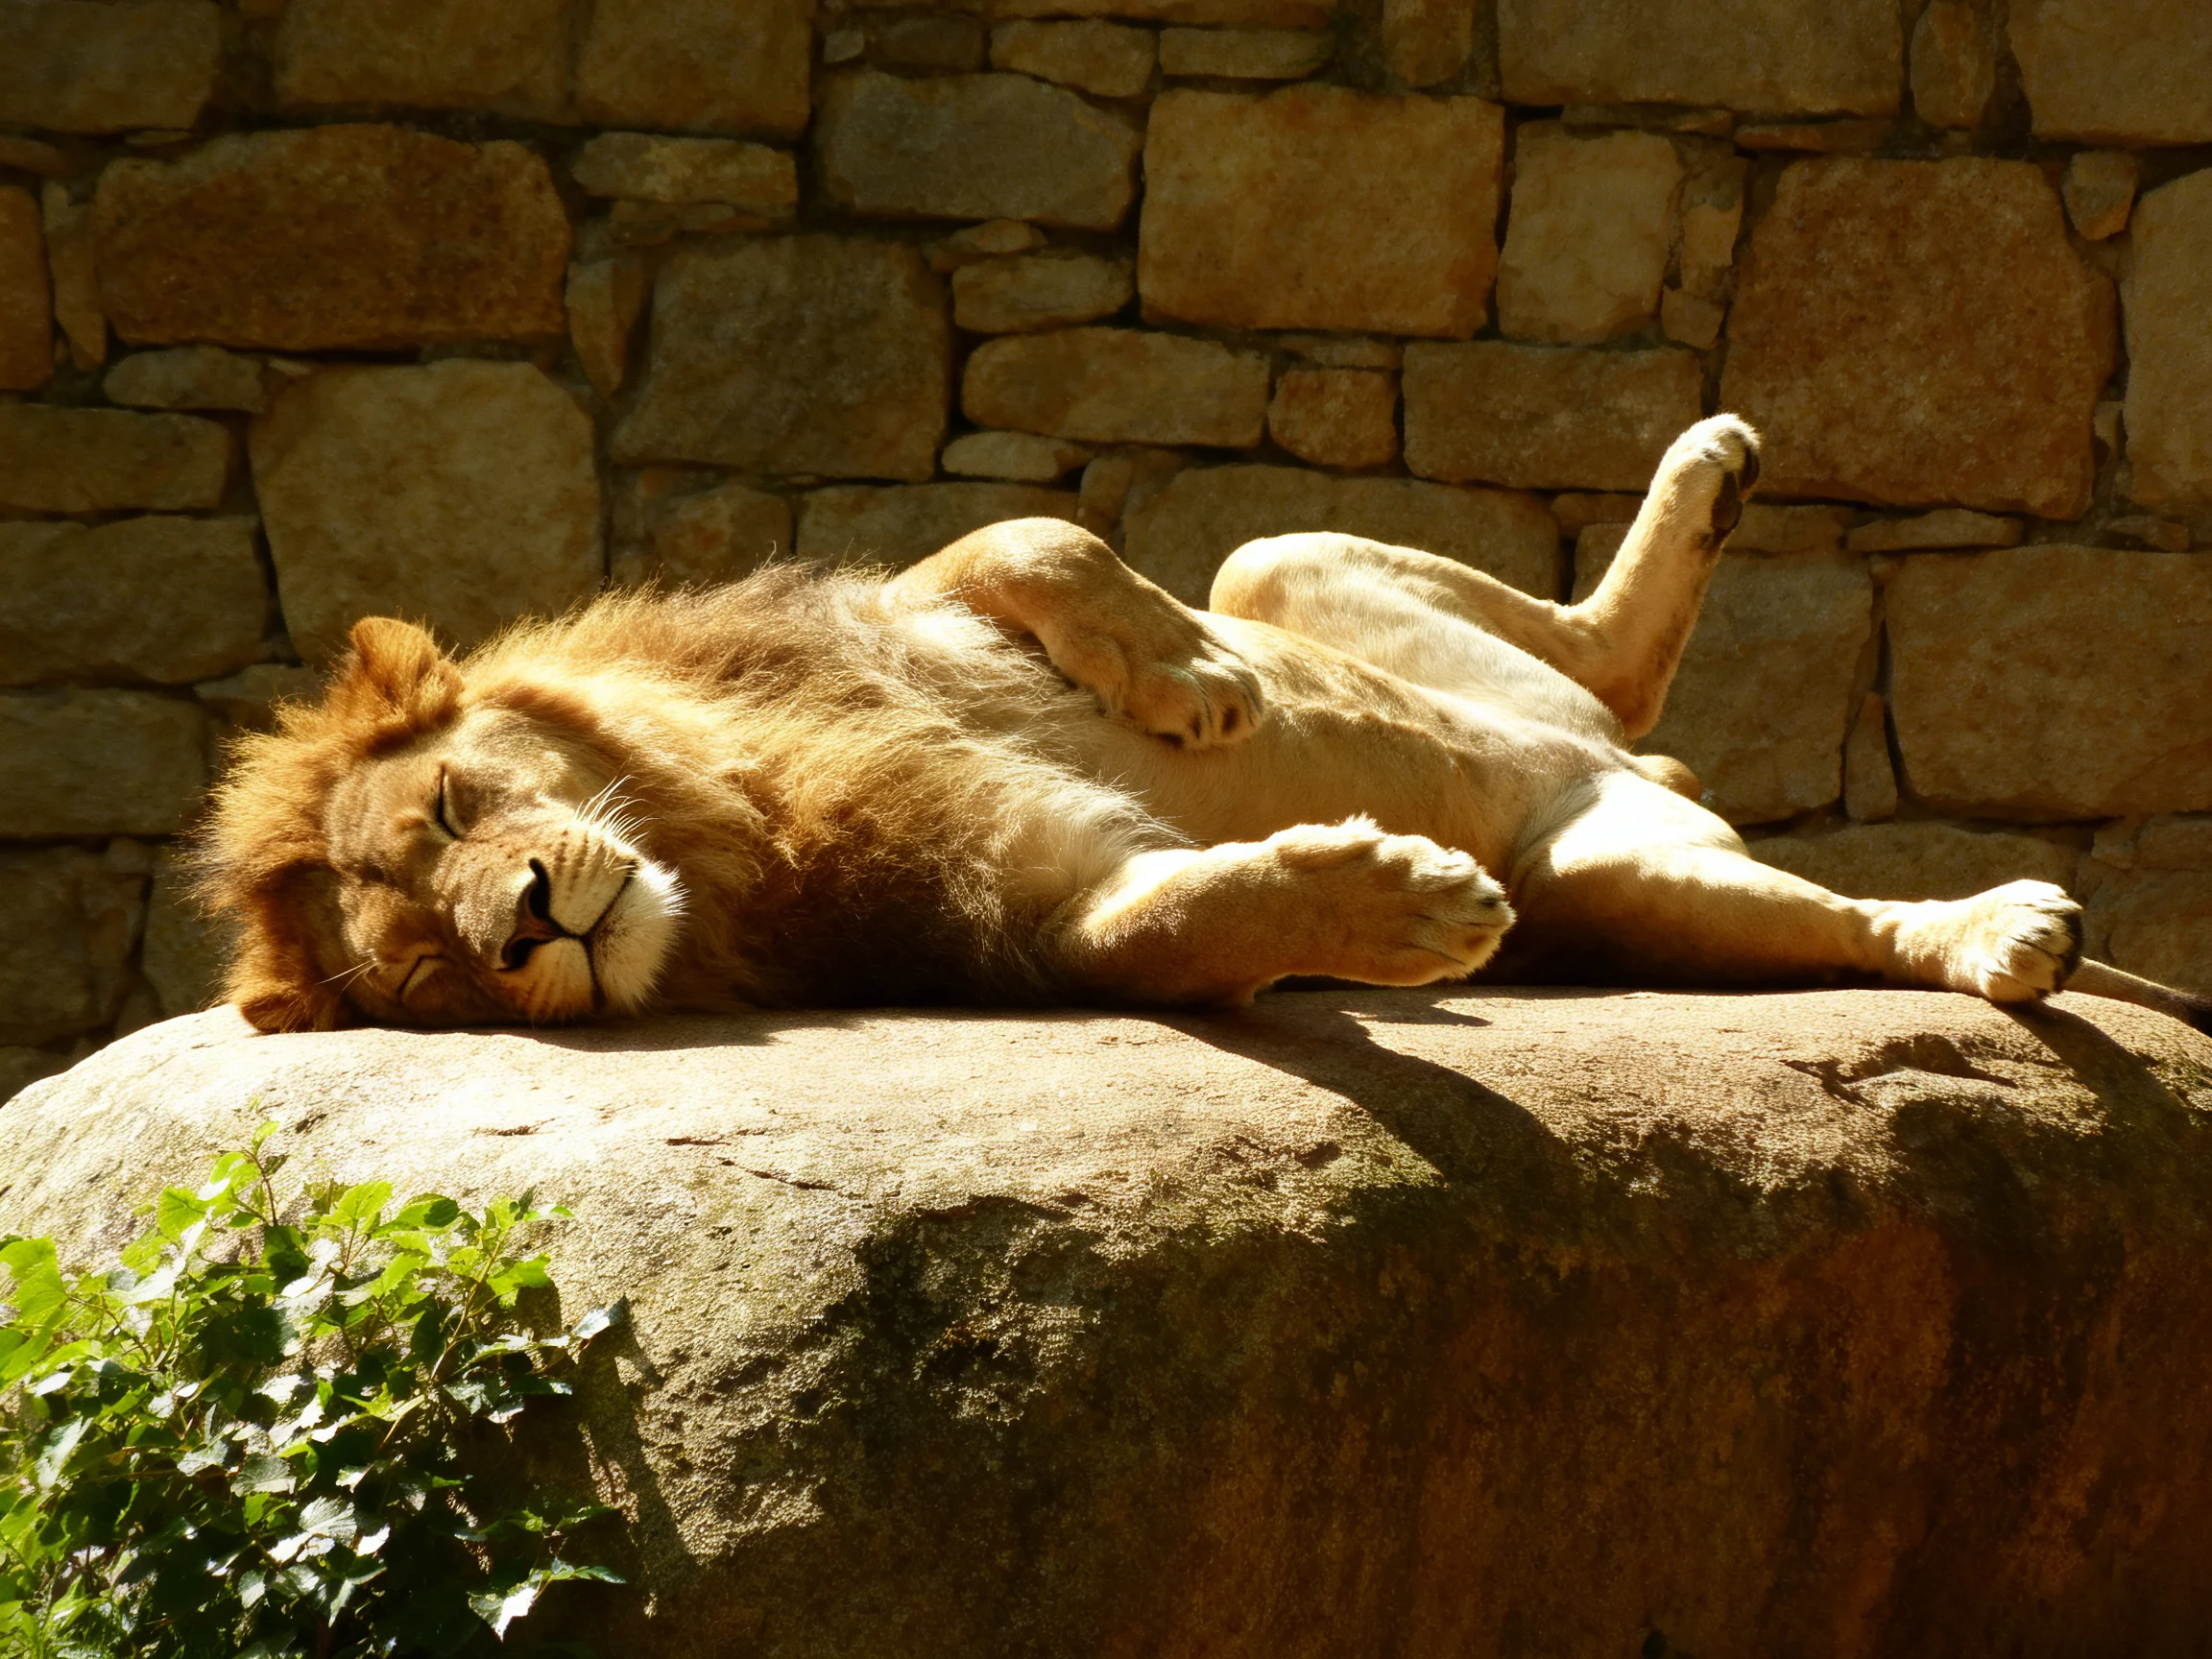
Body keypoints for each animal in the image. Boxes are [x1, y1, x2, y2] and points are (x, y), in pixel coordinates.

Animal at [198, 416, 2210, 1036]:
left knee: (1593, 659)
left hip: (1285, 559)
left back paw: (1708, 469)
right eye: (428, 978)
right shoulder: (997, 889)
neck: (723, 809)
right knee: (1819, 904)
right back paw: (1993, 932)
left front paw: (1192, 692)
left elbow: (1033, 534)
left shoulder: (892, 602)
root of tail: (1627, 778)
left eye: (450, 809)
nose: (527, 921)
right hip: (1633, 884)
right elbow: (1150, 924)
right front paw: (1389, 902)